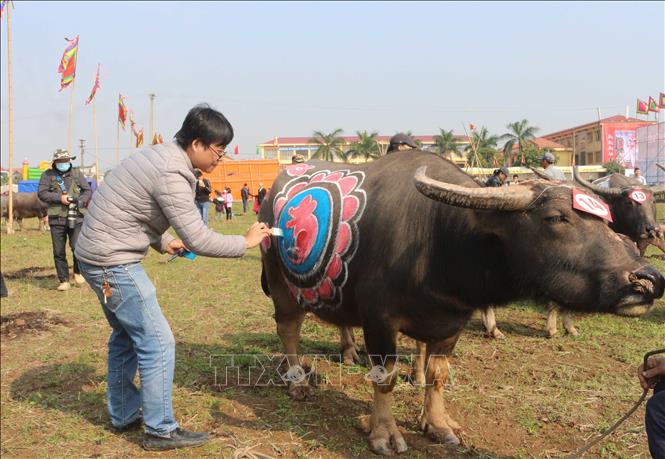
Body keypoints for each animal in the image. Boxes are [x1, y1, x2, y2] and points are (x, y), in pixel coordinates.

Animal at [256, 153, 660, 454]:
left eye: (606, 219)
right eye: (556, 218)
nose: (649, 280)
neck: (437, 241)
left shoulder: (452, 320)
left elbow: (438, 375)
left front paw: (437, 425)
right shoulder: (379, 319)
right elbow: (385, 379)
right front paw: (384, 434)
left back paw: (347, 352)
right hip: (280, 282)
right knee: (288, 329)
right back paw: (297, 380)